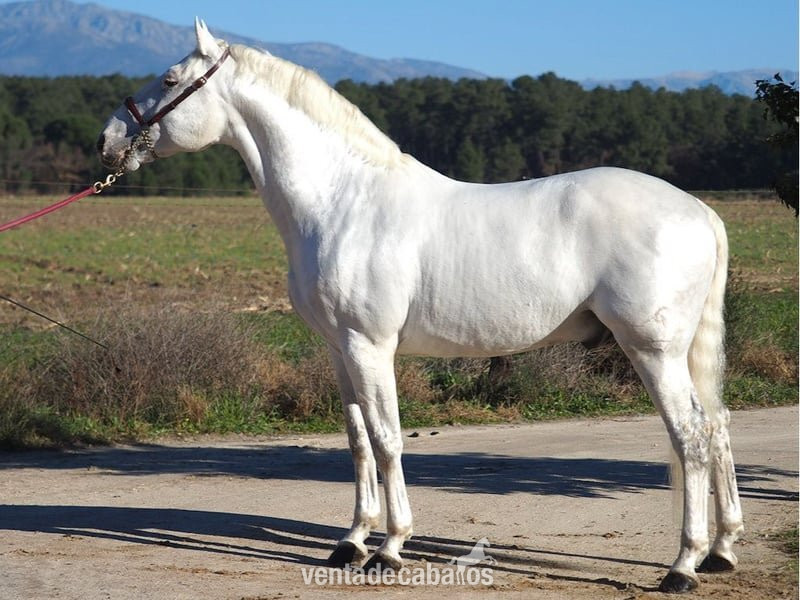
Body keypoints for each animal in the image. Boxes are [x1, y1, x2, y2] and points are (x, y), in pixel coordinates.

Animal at [97, 19, 744, 593]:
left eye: (169, 77)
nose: (107, 141)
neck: (341, 201)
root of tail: (699, 211)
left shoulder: (370, 346)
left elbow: (388, 440)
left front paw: (389, 549)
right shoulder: (339, 351)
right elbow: (358, 440)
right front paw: (351, 541)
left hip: (653, 349)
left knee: (690, 436)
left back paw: (682, 566)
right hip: (680, 352)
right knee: (716, 425)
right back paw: (721, 551)